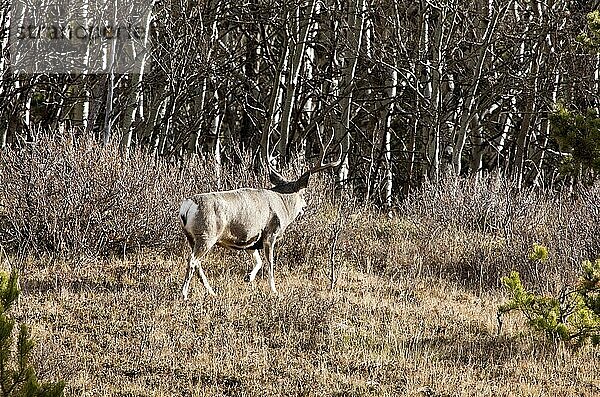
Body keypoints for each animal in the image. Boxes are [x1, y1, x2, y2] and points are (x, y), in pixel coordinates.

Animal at [178, 142, 340, 296]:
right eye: (303, 193)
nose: (304, 205)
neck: (282, 204)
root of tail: (187, 206)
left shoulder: (251, 241)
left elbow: (259, 261)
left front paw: (248, 277)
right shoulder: (270, 233)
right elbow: (270, 263)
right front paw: (274, 290)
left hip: (192, 237)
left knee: (197, 263)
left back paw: (211, 292)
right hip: (207, 234)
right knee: (192, 260)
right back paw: (184, 294)